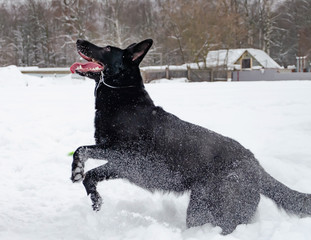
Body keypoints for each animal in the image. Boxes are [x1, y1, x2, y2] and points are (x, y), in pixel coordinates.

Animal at [70, 38, 311, 233]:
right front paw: (95, 200)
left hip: (205, 208)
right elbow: (91, 176)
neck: (123, 99)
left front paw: (77, 169)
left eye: (107, 48)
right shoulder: (122, 165)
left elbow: (81, 149)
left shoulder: (126, 154)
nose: (79, 40)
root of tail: (256, 166)